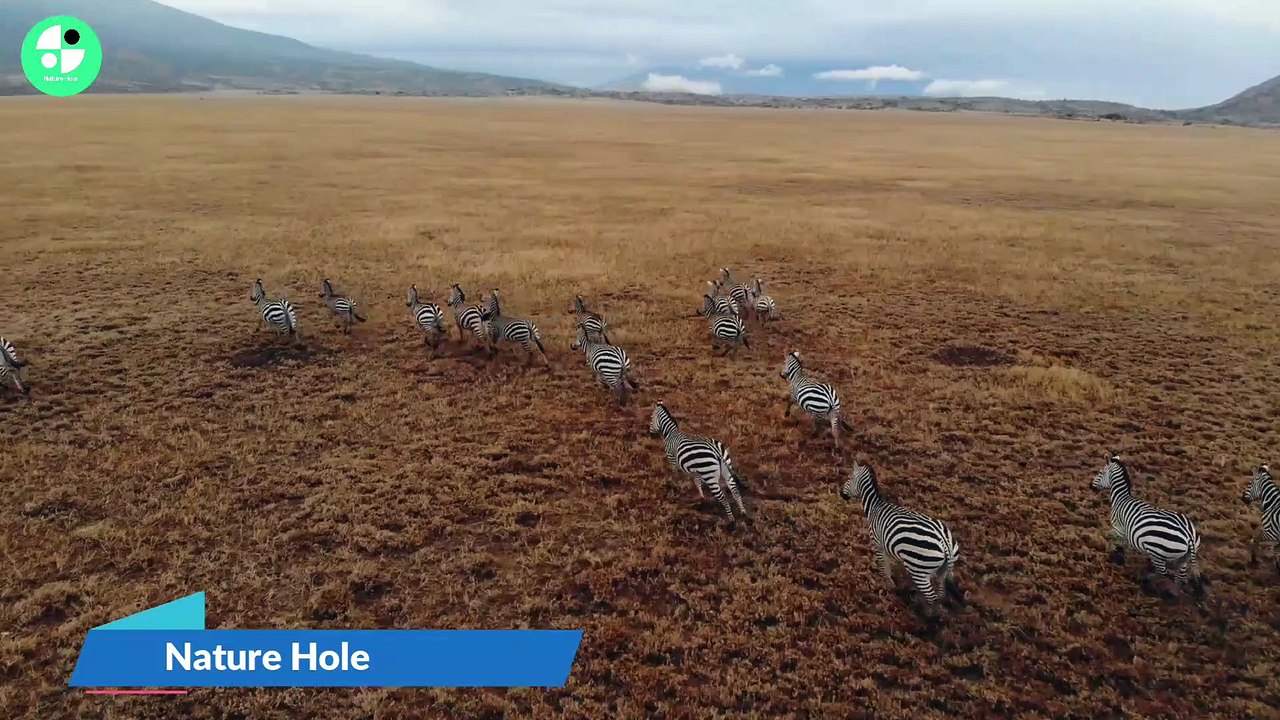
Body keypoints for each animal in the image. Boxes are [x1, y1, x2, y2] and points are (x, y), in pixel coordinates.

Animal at [840, 459, 964, 615]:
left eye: (849, 478)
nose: (841, 494)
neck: (875, 507)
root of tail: (944, 543)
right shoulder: (888, 546)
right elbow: (888, 565)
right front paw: (894, 586)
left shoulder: (877, 544)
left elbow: (883, 567)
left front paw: (887, 587)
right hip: (943, 570)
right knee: (941, 594)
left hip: (919, 570)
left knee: (933, 598)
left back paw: (927, 615)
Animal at [1091, 454, 1205, 596]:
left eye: (1100, 472)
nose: (1090, 486)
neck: (1121, 499)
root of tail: (1189, 535)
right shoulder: (1125, 533)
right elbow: (1122, 544)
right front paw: (1119, 556)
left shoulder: (1119, 529)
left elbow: (1110, 537)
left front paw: (1114, 555)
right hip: (1184, 558)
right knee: (1180, 578)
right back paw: (1171, 595)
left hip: (1157, 553)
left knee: (1163, 573)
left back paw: (1147, 582)